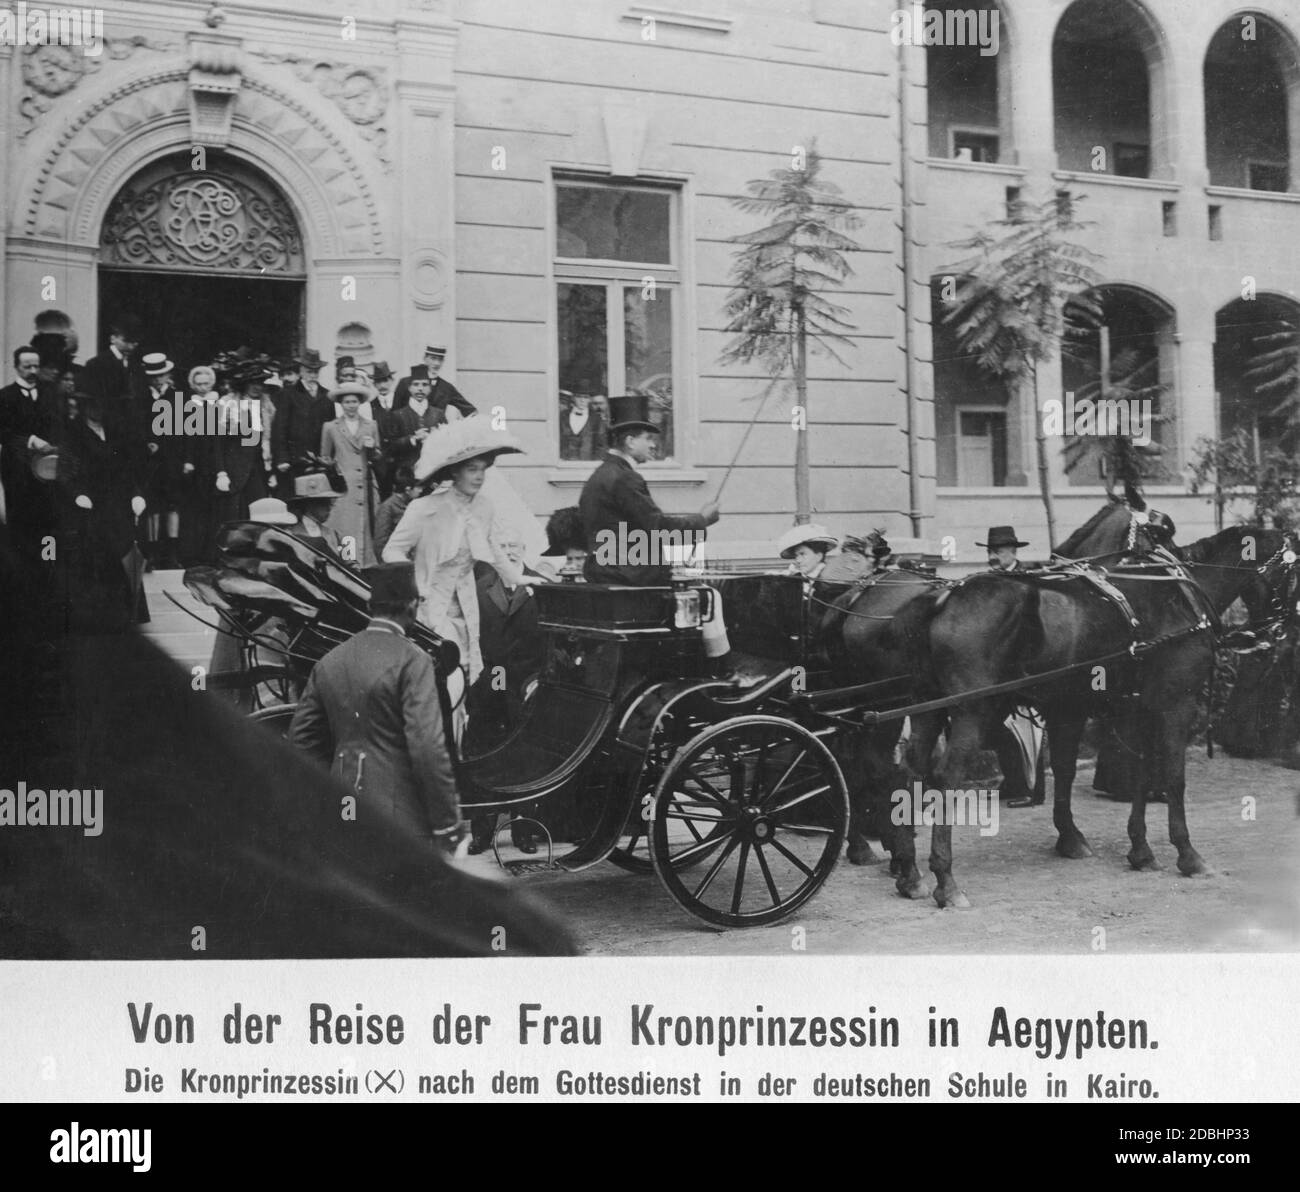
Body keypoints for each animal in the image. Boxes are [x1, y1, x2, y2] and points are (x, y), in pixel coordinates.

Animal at [899, 525, 1294, 904]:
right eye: (1293, 571)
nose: (1276, 632)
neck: (1180, 595)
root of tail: (945, 597)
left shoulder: (1136, 710)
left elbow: (1139, 774)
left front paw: (1139, 849)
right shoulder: (1174, 705)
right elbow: (1173, 777)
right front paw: (1188, 855)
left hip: (927, 710)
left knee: (910, 769)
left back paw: (910, 873)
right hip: (972, 711)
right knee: (946, 778)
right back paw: (946, 881)